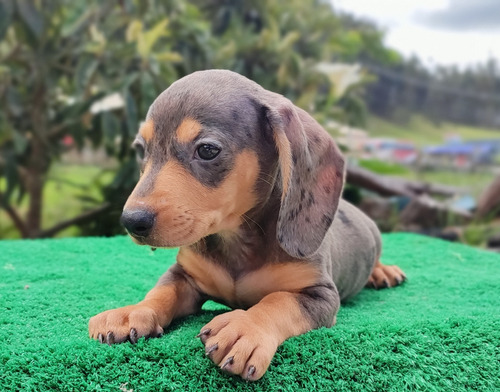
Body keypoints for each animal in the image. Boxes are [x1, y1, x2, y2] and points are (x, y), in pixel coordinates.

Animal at [88, 69, 404, 382]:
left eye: (207, 150)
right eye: (141, 150)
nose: (131, 221)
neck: (235, 241)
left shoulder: (321, 294)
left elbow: (279, 301)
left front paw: (247, 326)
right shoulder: (185, 277)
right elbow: (162, 292)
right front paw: (134, 312)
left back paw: (383, 271)